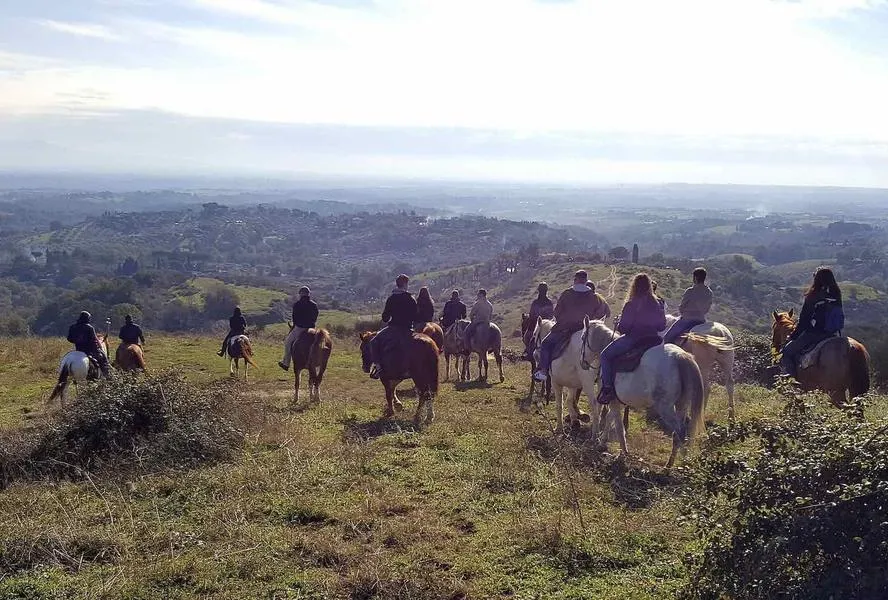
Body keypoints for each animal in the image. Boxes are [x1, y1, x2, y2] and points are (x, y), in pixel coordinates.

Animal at [581, 318, 706, 468]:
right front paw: (602, 442)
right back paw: (671, 463)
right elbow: (611, 419)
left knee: (680, 432)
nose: (583, 363)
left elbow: (618, 427)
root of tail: (680, 356)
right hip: (681, 404)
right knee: (679, 434)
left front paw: (623, 453)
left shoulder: (612, 400)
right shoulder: (617, 401)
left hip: (665, 408)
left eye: (583, 337)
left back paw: (682, 463)